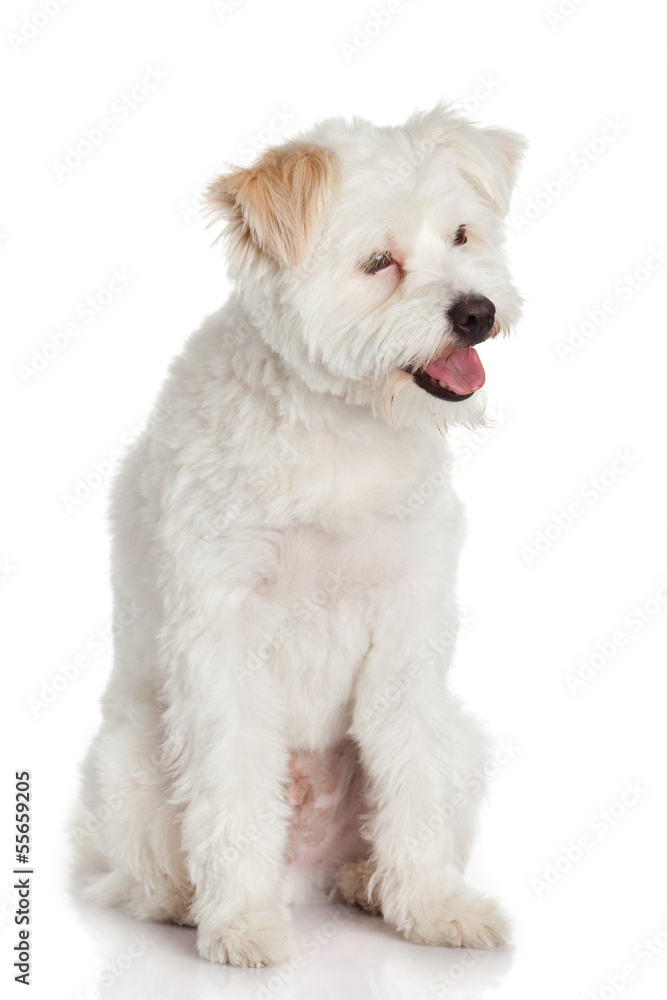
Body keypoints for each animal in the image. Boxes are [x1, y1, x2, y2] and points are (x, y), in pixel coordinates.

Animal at [77, 103, 528, 968]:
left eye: (460, 234)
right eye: (379, 262)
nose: (476, 313)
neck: (341, 426)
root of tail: (305, 870)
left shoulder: (407, 625)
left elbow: (410, 781)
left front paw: (431, 907)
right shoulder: (222, 635)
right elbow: (229, 791)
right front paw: (240, 923)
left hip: (463, 738)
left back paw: (368, 882)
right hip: (128, 760)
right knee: (143, 874)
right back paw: (187, 902)